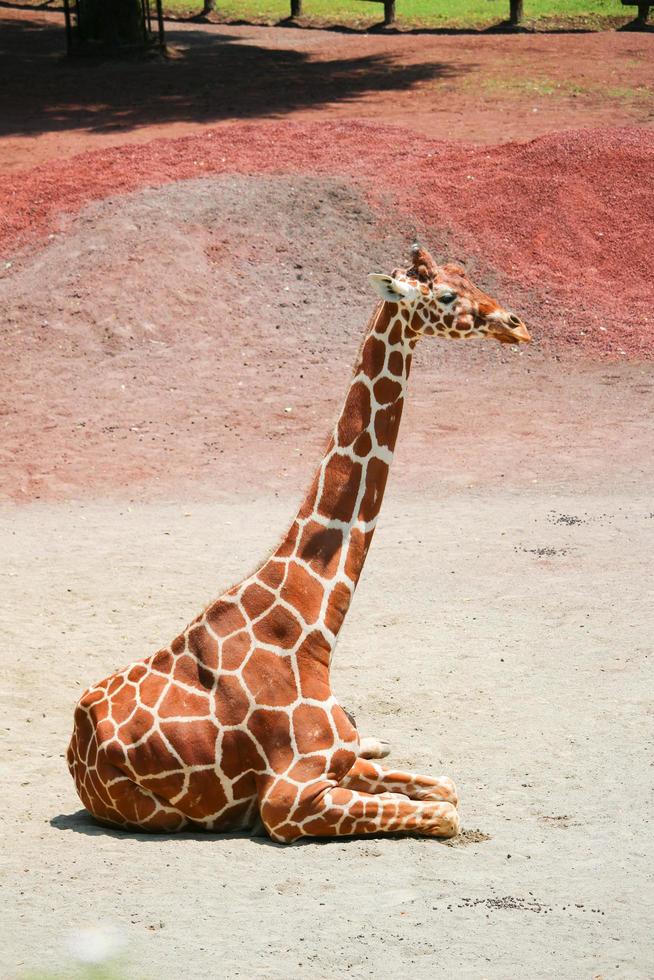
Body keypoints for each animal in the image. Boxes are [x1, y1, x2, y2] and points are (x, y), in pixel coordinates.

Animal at [69, 245, 532, 844]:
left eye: (467, 275)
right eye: (447, 295)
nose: (517, 325)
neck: (311, 627)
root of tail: (74, 748)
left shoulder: (340, 761)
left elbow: (446, 786)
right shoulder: (287, 801)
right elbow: (447, 812)